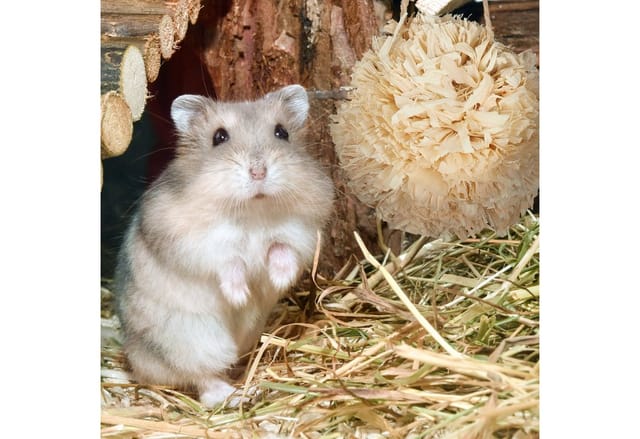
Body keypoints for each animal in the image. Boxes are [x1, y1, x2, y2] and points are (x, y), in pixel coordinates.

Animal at [114, 84, 334, 407]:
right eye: (219, 137)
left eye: (281, 132)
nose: (258, 172)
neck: (252, 211)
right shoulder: (197, 242)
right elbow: (230, 261)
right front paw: (240, 296)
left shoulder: (301, 231)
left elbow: (282, 249)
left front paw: (277, 280)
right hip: (193, 341)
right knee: (203, 379)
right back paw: (233, 395)